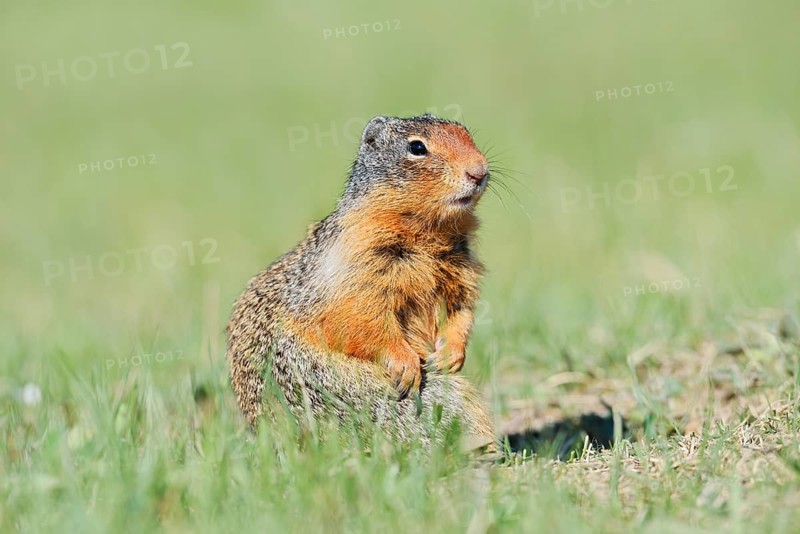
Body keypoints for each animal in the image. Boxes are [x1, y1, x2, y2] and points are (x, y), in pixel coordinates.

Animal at [226, 114, 496, 449]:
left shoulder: (460, 269)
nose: (479, 171)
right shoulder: (358, 266)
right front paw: (405, 364)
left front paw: (451, 355)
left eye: (467, 133)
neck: (428, 229)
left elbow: (461, 309)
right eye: (417, 147)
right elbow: (364, 319)